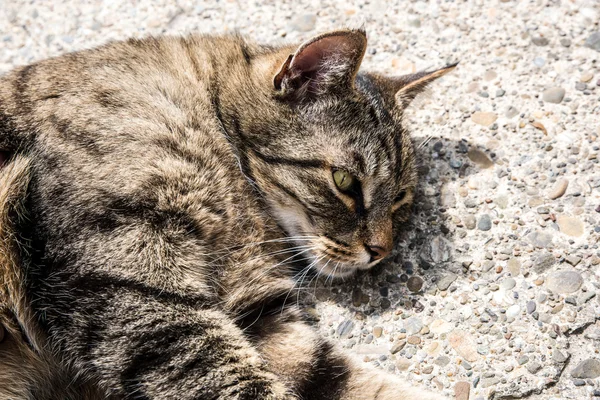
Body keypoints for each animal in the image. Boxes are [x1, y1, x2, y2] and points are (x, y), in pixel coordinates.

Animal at [0, 29, 452, 398]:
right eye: (345, 182)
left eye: (400, 199)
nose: (381, 251)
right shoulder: (123, 282)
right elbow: (237, 382)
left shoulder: (259, 315)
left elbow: (342, 379)